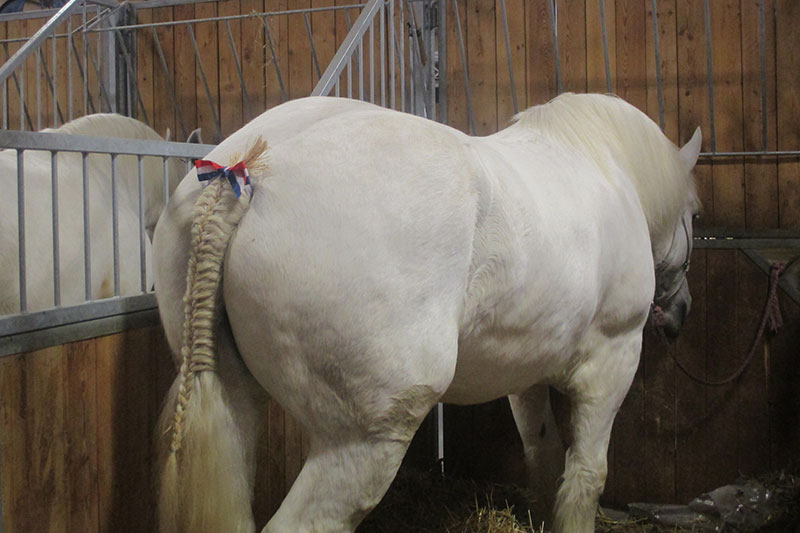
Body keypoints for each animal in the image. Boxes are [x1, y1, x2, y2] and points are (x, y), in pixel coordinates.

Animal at [153, 93, 701, 533]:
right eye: (693, 217)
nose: (681, 313)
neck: (604, 166)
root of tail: (249, 170)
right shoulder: (612, 361)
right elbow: (586, 475)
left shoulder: (524, 373)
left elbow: (542, 454)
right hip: (361, 442)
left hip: (234, 405)